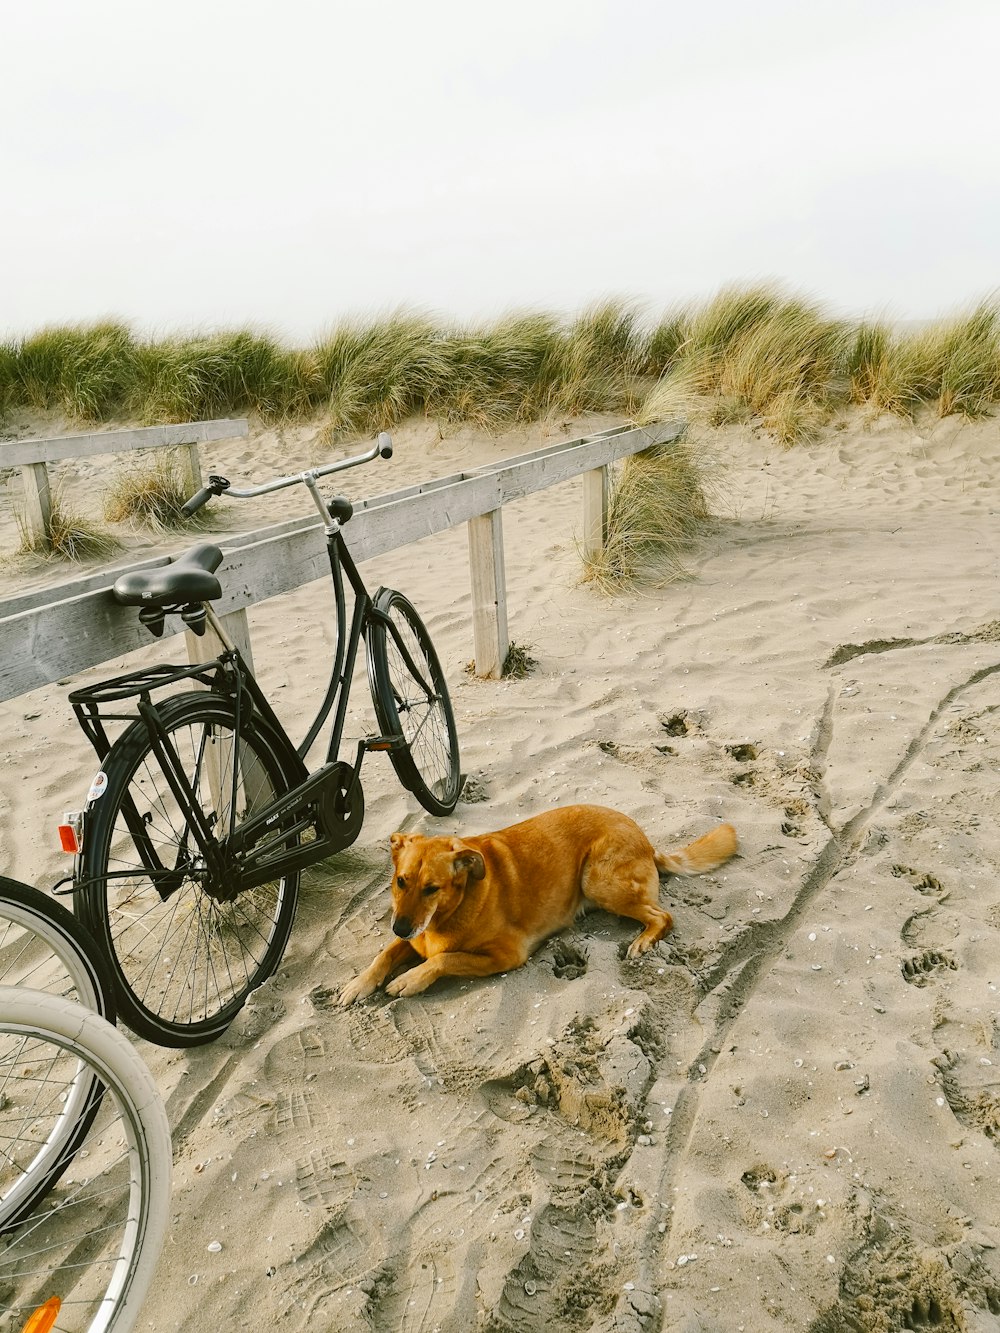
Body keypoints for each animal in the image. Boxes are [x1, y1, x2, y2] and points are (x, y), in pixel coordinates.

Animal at [337, 805, 736, 1002]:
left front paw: (410, 979)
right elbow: (385, 954)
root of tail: (646, 840)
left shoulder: (505, 955)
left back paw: (644, 939)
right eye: (400, 881)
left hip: (598, 879)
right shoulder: (412, 938)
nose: (400, 927)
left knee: (663, 915)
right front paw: (359, 984)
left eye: (432, 888)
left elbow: (443, 959)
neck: (450, 910)